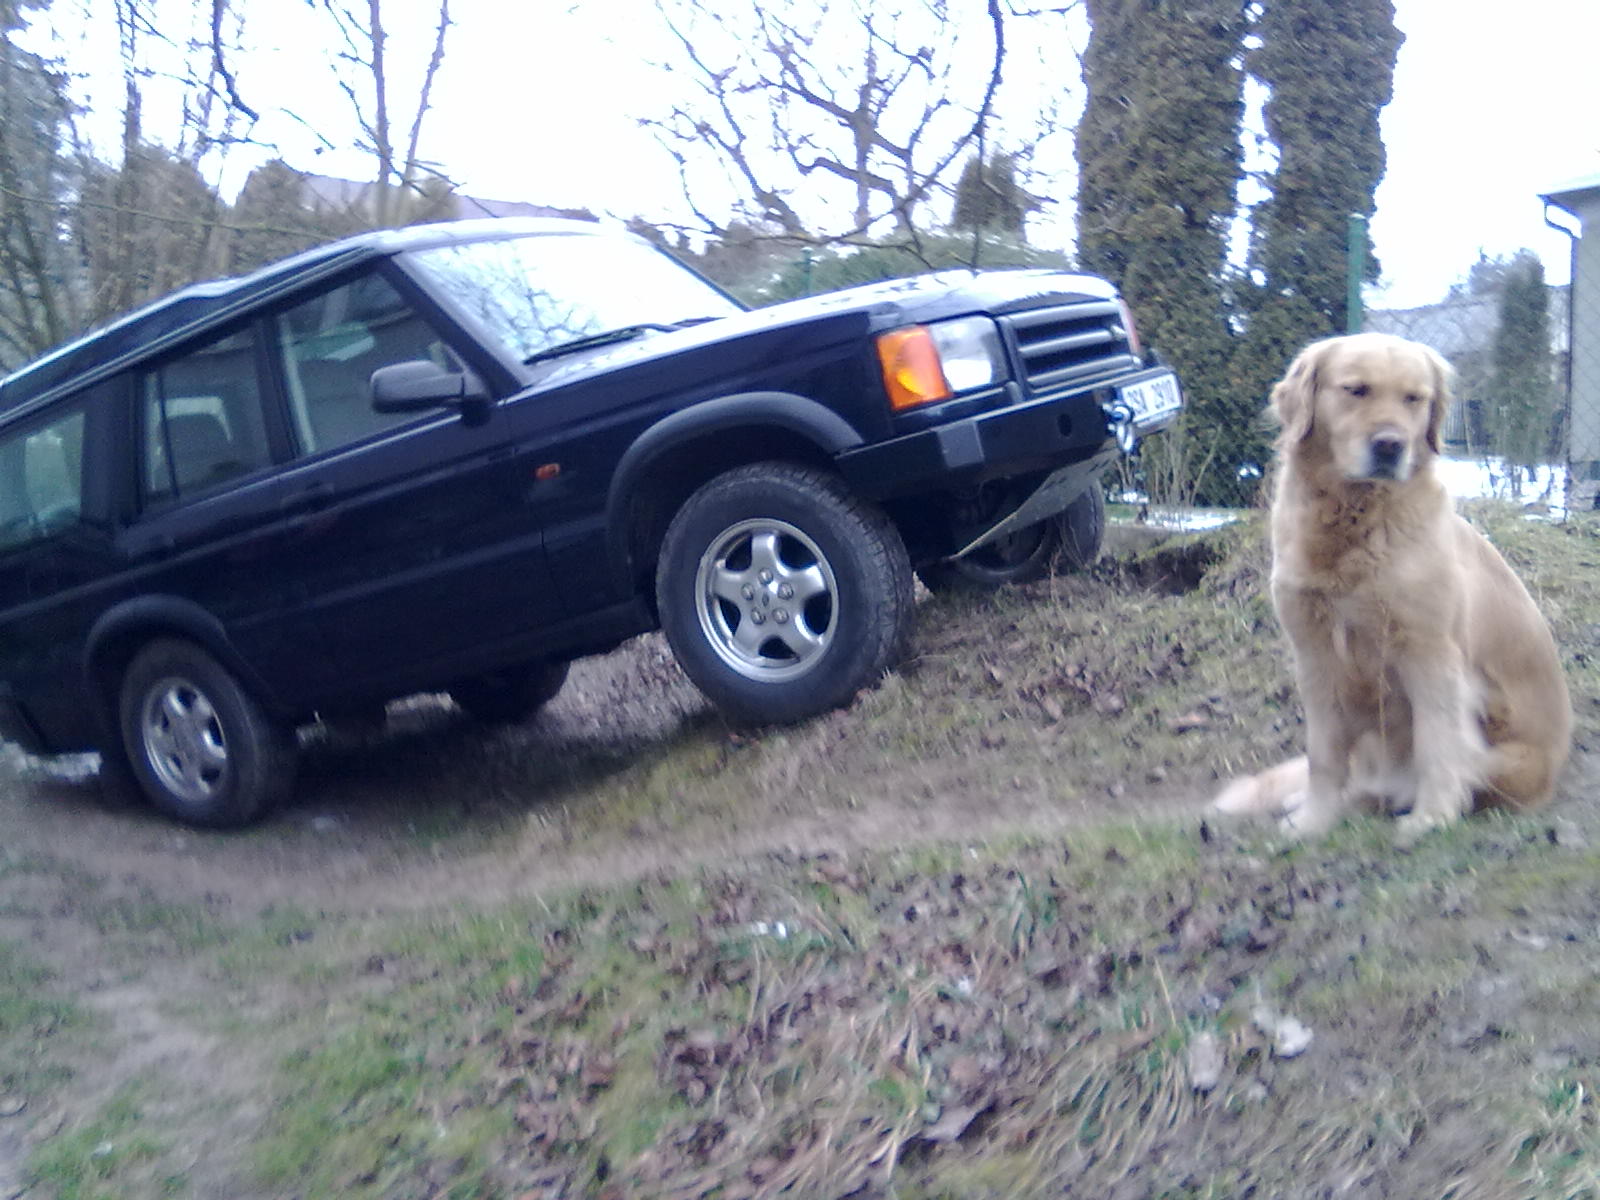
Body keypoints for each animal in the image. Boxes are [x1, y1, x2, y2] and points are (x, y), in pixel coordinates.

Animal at [1212, 333, 1571, 841]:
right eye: (1356, 390)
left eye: (1413, 398)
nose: (1390, 445)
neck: (1353, 517)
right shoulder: (1314, 655)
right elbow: (1323, 755)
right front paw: (1313, 820)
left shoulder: (1430, 653)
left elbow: (1438, 745)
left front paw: (1432, 818)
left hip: (1510, 760)